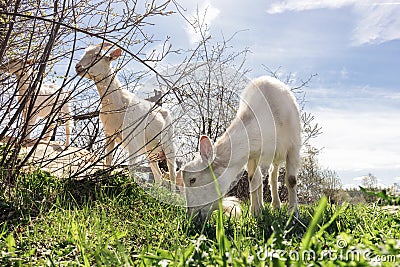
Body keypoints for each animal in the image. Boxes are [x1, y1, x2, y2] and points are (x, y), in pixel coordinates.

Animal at [76, 44, 177, 186]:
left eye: (99, 55)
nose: (78, 67)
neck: (118, 102)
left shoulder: (132, 139)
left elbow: (131, 167)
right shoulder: (109, 134)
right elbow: (108, 160)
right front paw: (105, 181)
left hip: (168, 144)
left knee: (173, 173)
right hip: (151, 151)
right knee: (158, 175)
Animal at [180, 76, 300, 224]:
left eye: (193, 180)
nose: (191, 217)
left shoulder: (294, 145)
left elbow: (291, 180)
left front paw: (293, 214)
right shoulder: (252, 154)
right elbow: (252, 179)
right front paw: (255, 212)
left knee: (273, 173)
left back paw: (276, 205)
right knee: (263, 178)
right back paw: (266, 205)